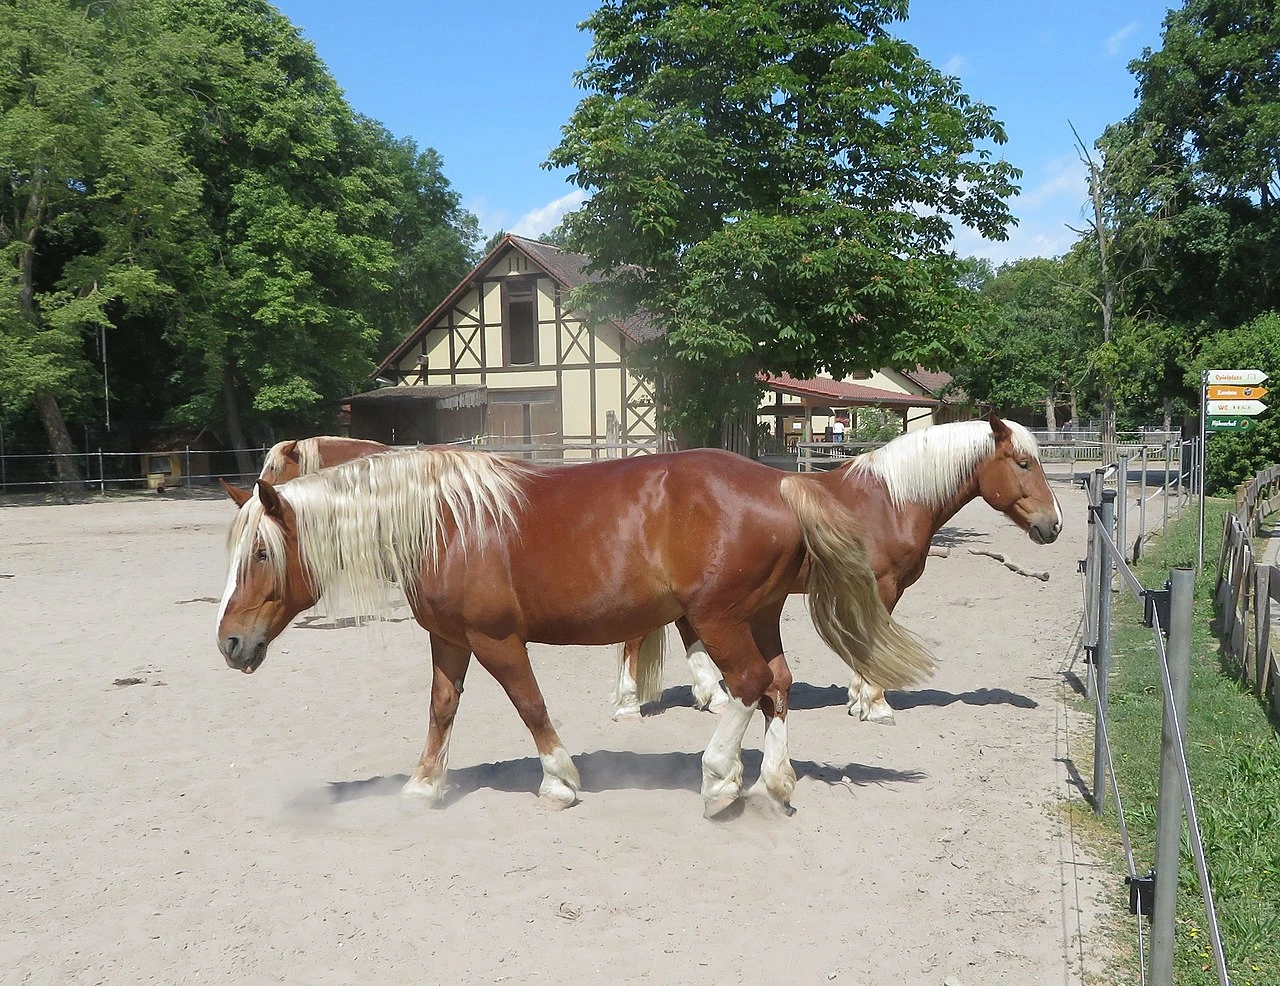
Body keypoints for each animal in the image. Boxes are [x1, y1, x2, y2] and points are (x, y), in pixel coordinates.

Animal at [215, 445, 942, 818]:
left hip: (721, 618)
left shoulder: (495, 639)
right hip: (757, 617)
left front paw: (559, 780)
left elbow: (529, 705)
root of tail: (782, 482)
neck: (446, 519)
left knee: (748, 683)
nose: (229, 643)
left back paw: (719, 780)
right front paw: (424, 784)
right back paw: (774, 780)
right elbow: (442, 706)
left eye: (261, 553)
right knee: (777, 686)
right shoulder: (449, 638)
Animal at [612, 415, 1062, 722]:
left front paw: (857, 697)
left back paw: (714, 698)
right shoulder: (883, 586)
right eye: (1023, 463)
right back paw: (630, 704)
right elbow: (874, 641)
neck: (892, 501)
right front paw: (875, 704)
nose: (1053, 525)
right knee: (637, 638)